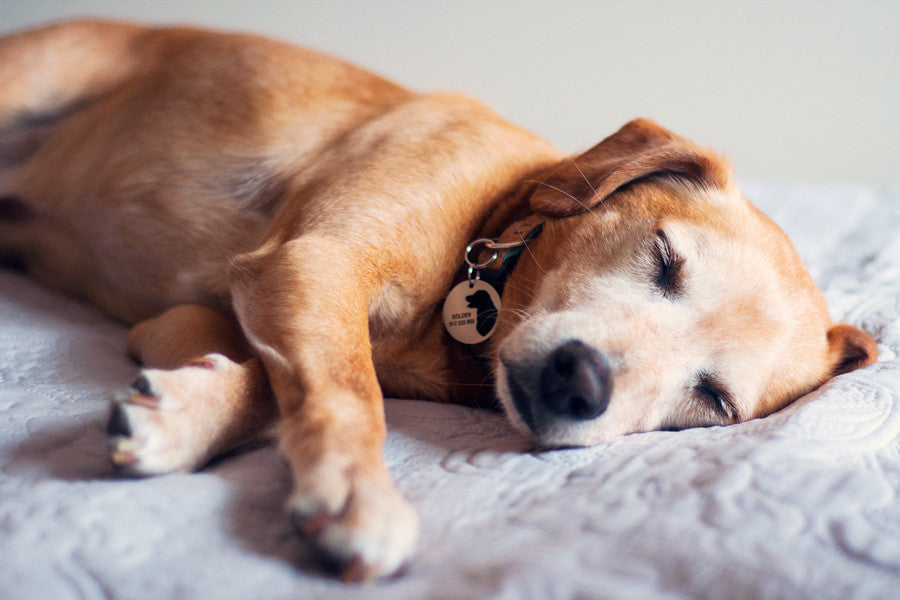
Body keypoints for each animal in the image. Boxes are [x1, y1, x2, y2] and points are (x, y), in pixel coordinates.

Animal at [0, 21, 876, 580]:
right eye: (665, 258)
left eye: (715, 401)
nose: (581, 384)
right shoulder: (314, 263)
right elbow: (351, 396)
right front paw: (361, 494)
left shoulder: (200, 316)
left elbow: (279, 388)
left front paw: (182, 417)